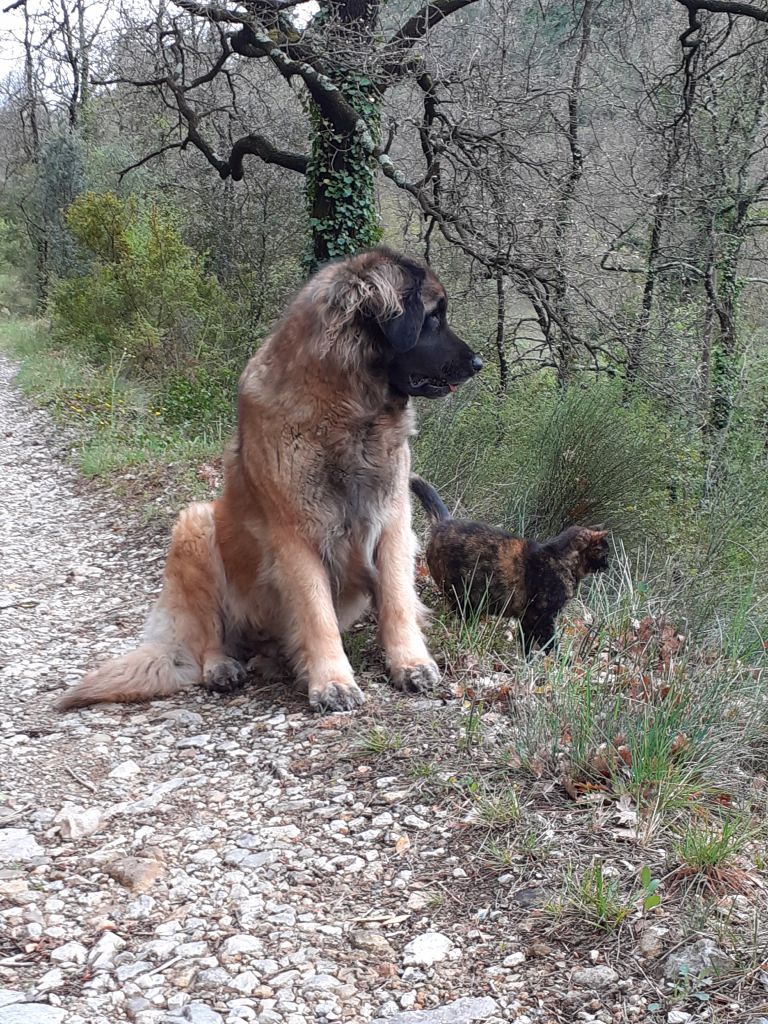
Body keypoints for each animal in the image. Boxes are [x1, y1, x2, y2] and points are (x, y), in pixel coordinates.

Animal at [57, 247, 483, 712]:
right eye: (433, 317)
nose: (478, 363)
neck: (348, 411)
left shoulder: (391, 521)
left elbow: (398, 601)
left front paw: (410, 663)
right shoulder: (295, 536)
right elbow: (317, 614)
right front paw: (332, 682)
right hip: (196, 524)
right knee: (208, 635)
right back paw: (222, 667)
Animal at [411, 473, 610, 655]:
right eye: (606, 553)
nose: (608, 566)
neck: (564, 561)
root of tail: (445, 522)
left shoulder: (527, 618)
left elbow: (527, 644)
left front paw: (529, 663)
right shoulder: (540, 616)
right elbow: (549, 644)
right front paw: (557, 663)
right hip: (462, 595)